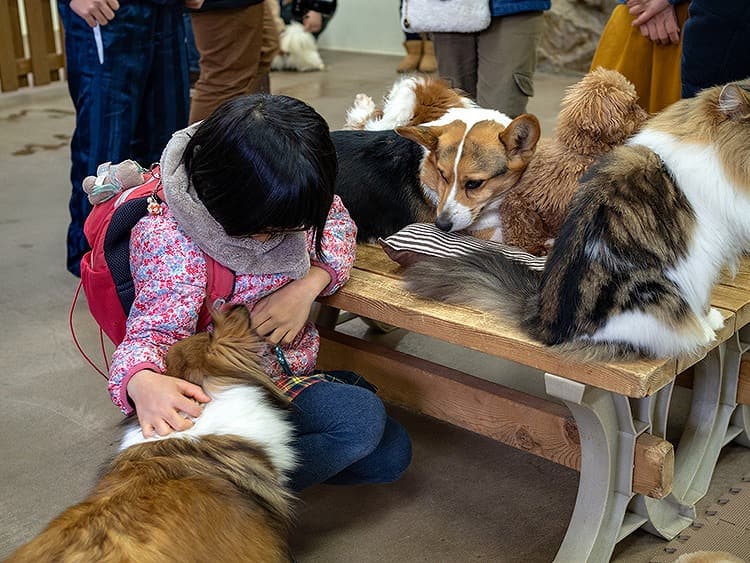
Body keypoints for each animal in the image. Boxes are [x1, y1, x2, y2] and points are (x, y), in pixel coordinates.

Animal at [402, 81, 750, 360]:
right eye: (444, 176)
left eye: (473, 183)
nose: (442, 224)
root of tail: (543, 320)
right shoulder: (705, 249)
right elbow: (700, 297)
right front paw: (708, 323)